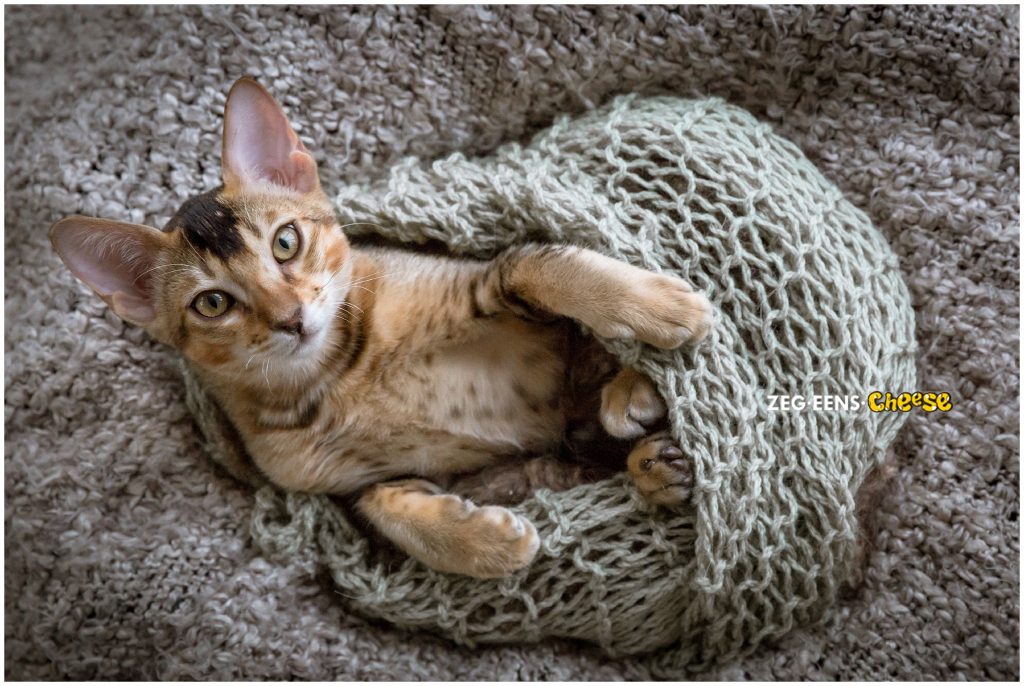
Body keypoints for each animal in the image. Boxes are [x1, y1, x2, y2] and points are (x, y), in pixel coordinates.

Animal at [49, 79, 712, 581]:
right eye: (213, 303)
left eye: (285, 242)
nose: (291, 318)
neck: (338, 377)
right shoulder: (349, 489)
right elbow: (387, 509)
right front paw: (487, 545)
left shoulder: (483, 279)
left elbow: (540, 262)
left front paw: (663, 308)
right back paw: (655, 466)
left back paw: (635, 394)